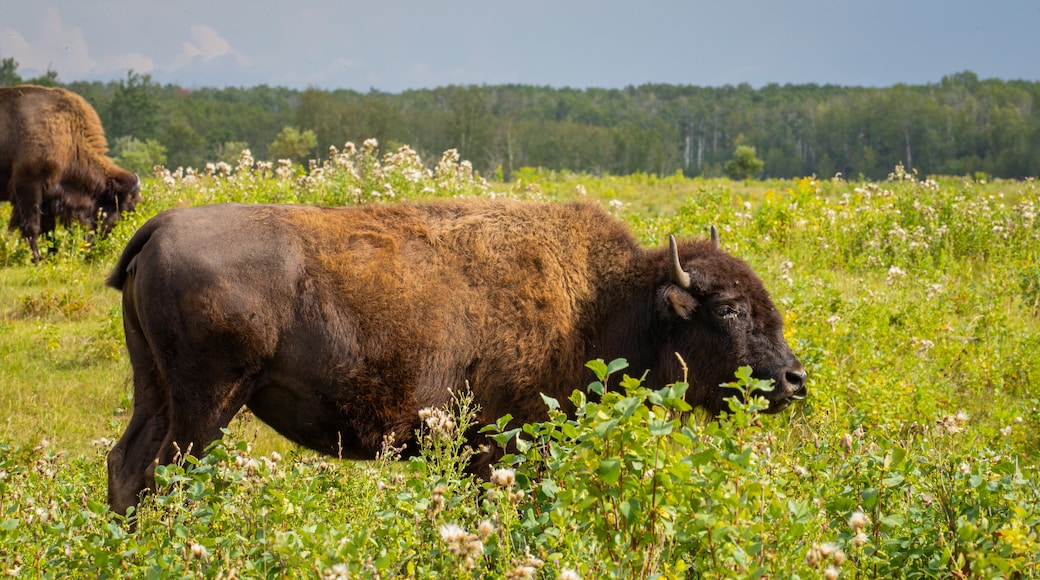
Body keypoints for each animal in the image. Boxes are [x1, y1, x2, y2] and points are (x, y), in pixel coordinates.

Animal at [0, 84, 142, 261]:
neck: (69, 135)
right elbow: (32, 227)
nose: (99, 248)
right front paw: (36, 260)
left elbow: (49, 230)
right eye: (125, 208)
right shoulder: (29, 187)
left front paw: (52, 258)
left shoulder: (49, 196)